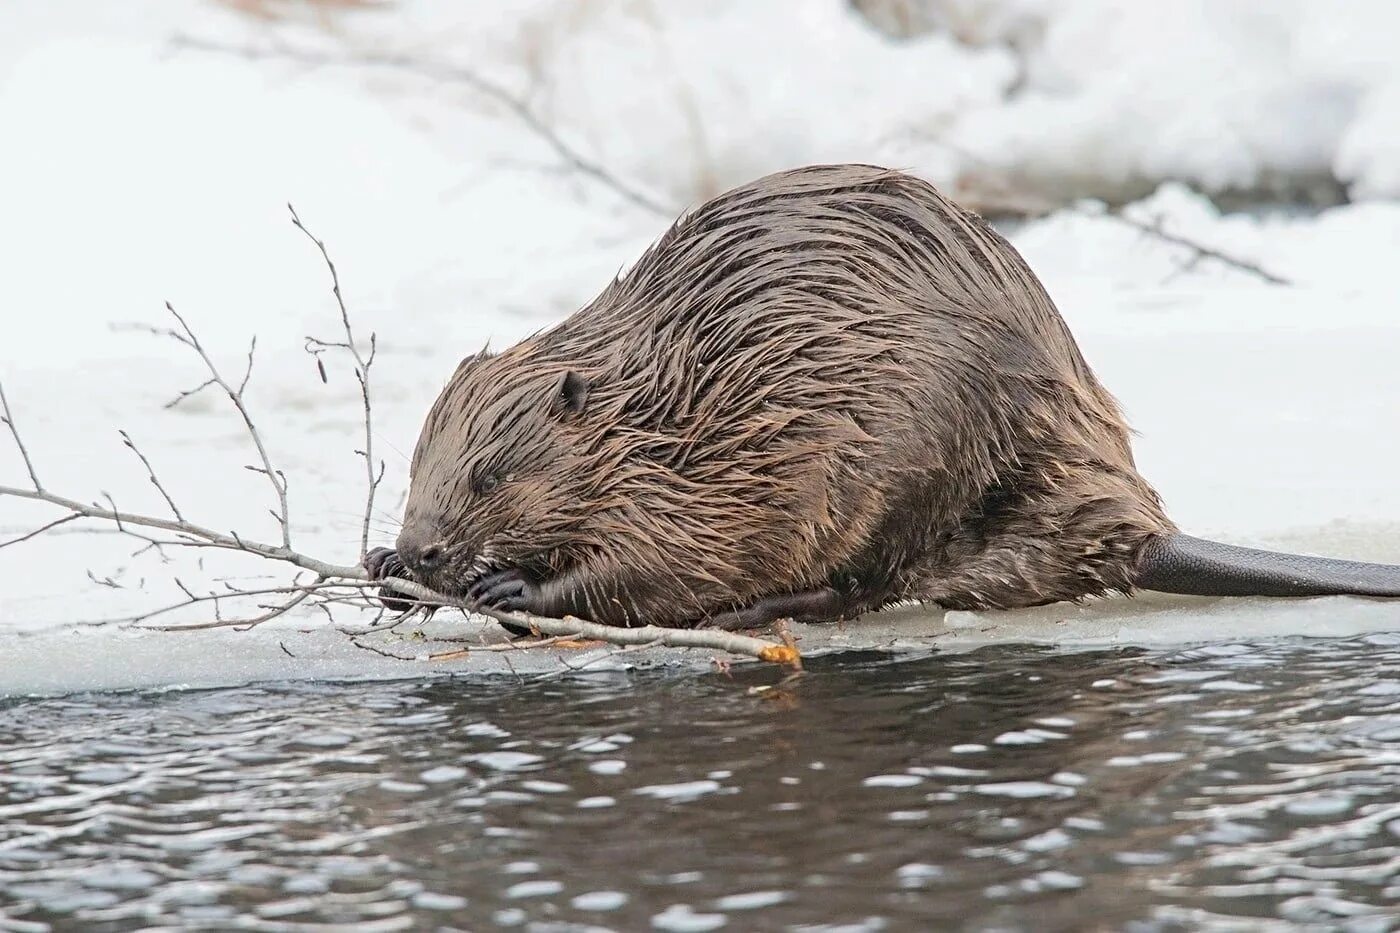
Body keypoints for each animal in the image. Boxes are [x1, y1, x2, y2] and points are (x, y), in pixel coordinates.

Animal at [364, 163, 1400, 627]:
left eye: (491, 474)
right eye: (417, 470)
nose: (423, 545)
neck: (665, 400)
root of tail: (1144, 532)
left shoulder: (724, 467)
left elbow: (665, 559)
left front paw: (509, 584)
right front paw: (384, 566)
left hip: (916, 455)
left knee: (861, 581)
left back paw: (750, 614)